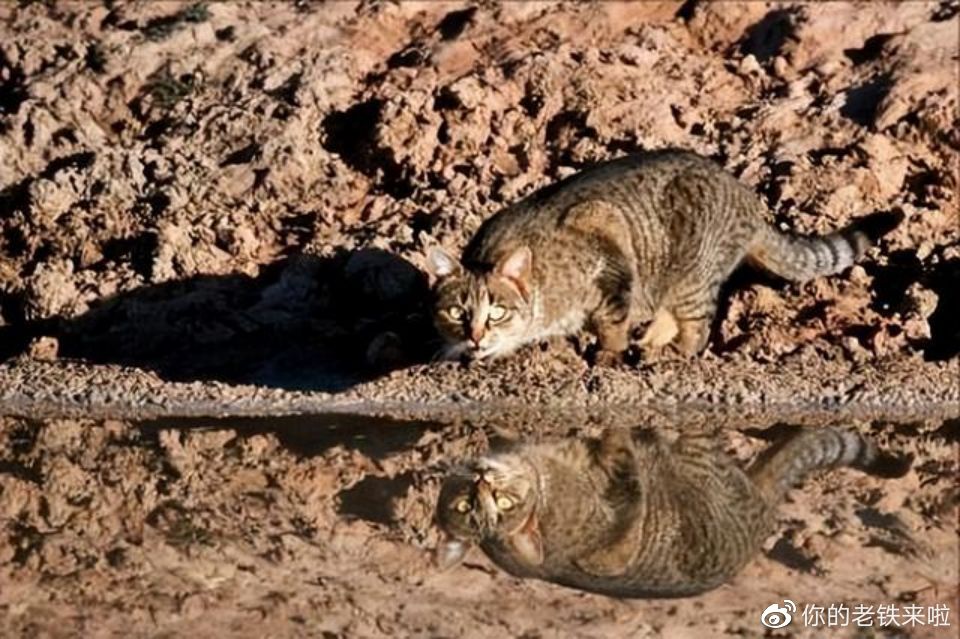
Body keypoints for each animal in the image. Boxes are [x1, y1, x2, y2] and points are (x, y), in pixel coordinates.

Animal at [428, 149, 900, 360]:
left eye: (497, 312)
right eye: (455, 313)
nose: (475, 337)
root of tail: (746, 196)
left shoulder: (606, 241)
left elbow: (611, 320)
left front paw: (607, 355)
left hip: (693, 273)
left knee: (697, 323)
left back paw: (673, 352)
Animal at [438, 424, 912, 600]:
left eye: (469, 503)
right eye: (487, 506)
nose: (481, 480)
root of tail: (760, 513)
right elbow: (620, 463)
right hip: (702, 468)